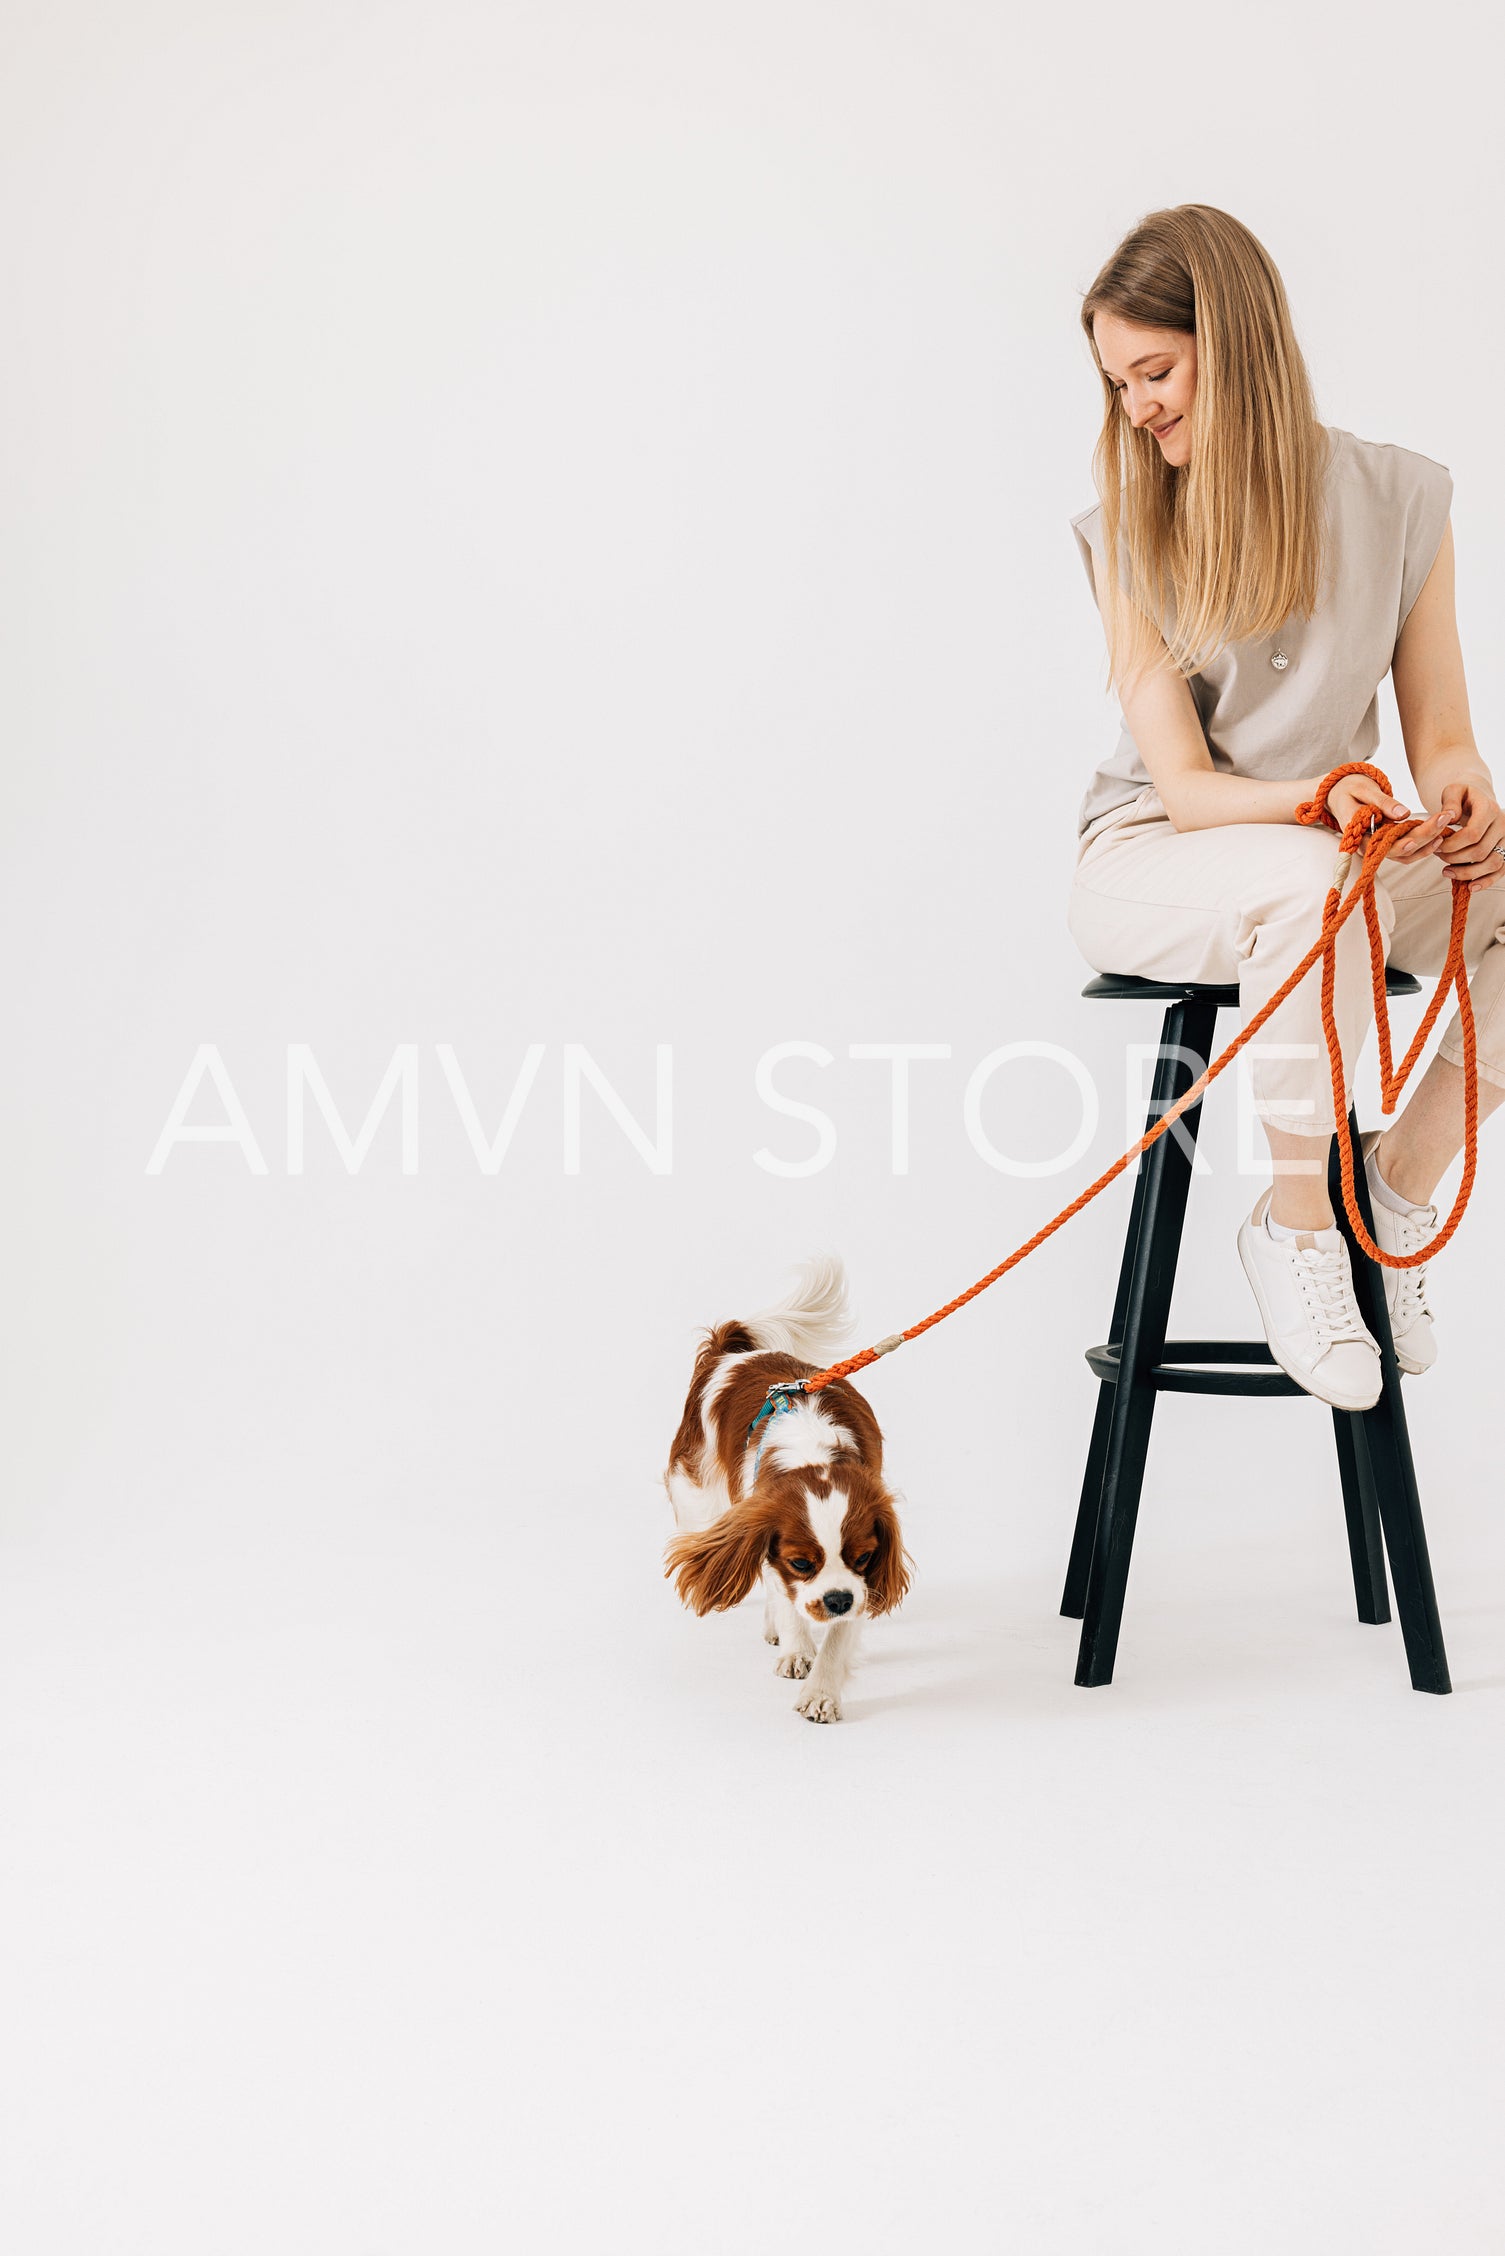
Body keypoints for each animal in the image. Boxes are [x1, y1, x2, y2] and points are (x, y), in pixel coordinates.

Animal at [663, 1254, 911, 1723]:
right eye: (800, 1563)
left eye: (864, 1557)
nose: (837, 1601)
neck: (813, 1453)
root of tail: (732, 1352)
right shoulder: (758, 1517)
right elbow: (784, 1593)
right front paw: (798, 1649)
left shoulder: (861, 1579)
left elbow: (838, 1636)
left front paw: (822, 1692)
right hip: (697, 1494)